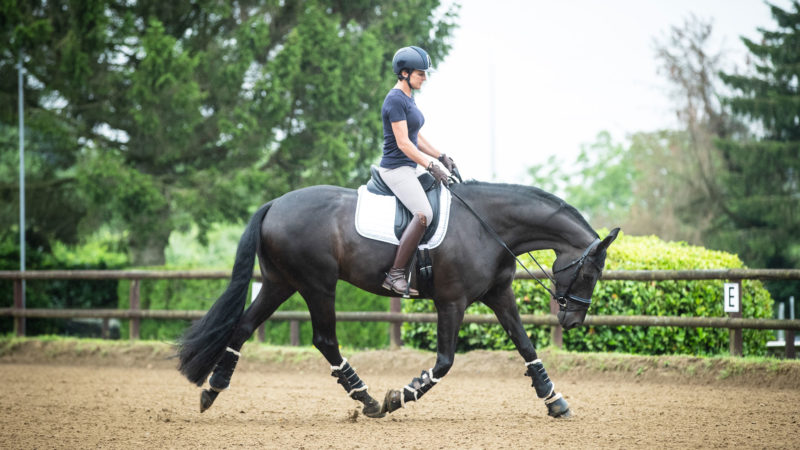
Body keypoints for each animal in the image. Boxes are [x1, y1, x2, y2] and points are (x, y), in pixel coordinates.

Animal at [180, 179, 620, 418]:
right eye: (591, 272)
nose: (573, 322)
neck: (488, 226)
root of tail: (275, 203)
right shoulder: (452, 302)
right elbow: (444, 362)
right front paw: (400, 397)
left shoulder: (499, 294)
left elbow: (526, 345)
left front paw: (555, 401)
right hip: (317, 284)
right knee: (325, 339)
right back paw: (371, 399)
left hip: (279, 282)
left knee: (243, 326)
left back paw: (212, 389)